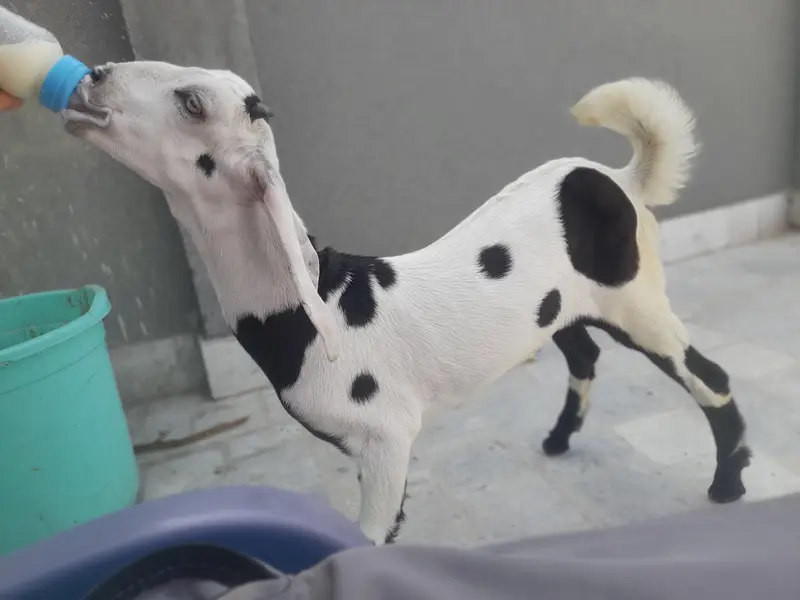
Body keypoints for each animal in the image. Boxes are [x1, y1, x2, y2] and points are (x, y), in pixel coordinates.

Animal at [64, 62, 751, 545]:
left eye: (192, 103)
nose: (90, 78)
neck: (318, 306)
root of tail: (619, 180)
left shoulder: (385, 440)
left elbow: (368, 539)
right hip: (560, 309)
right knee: (583, 356)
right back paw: (559, 439)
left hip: (636, 300)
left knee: (709, 376)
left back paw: (727, 484)